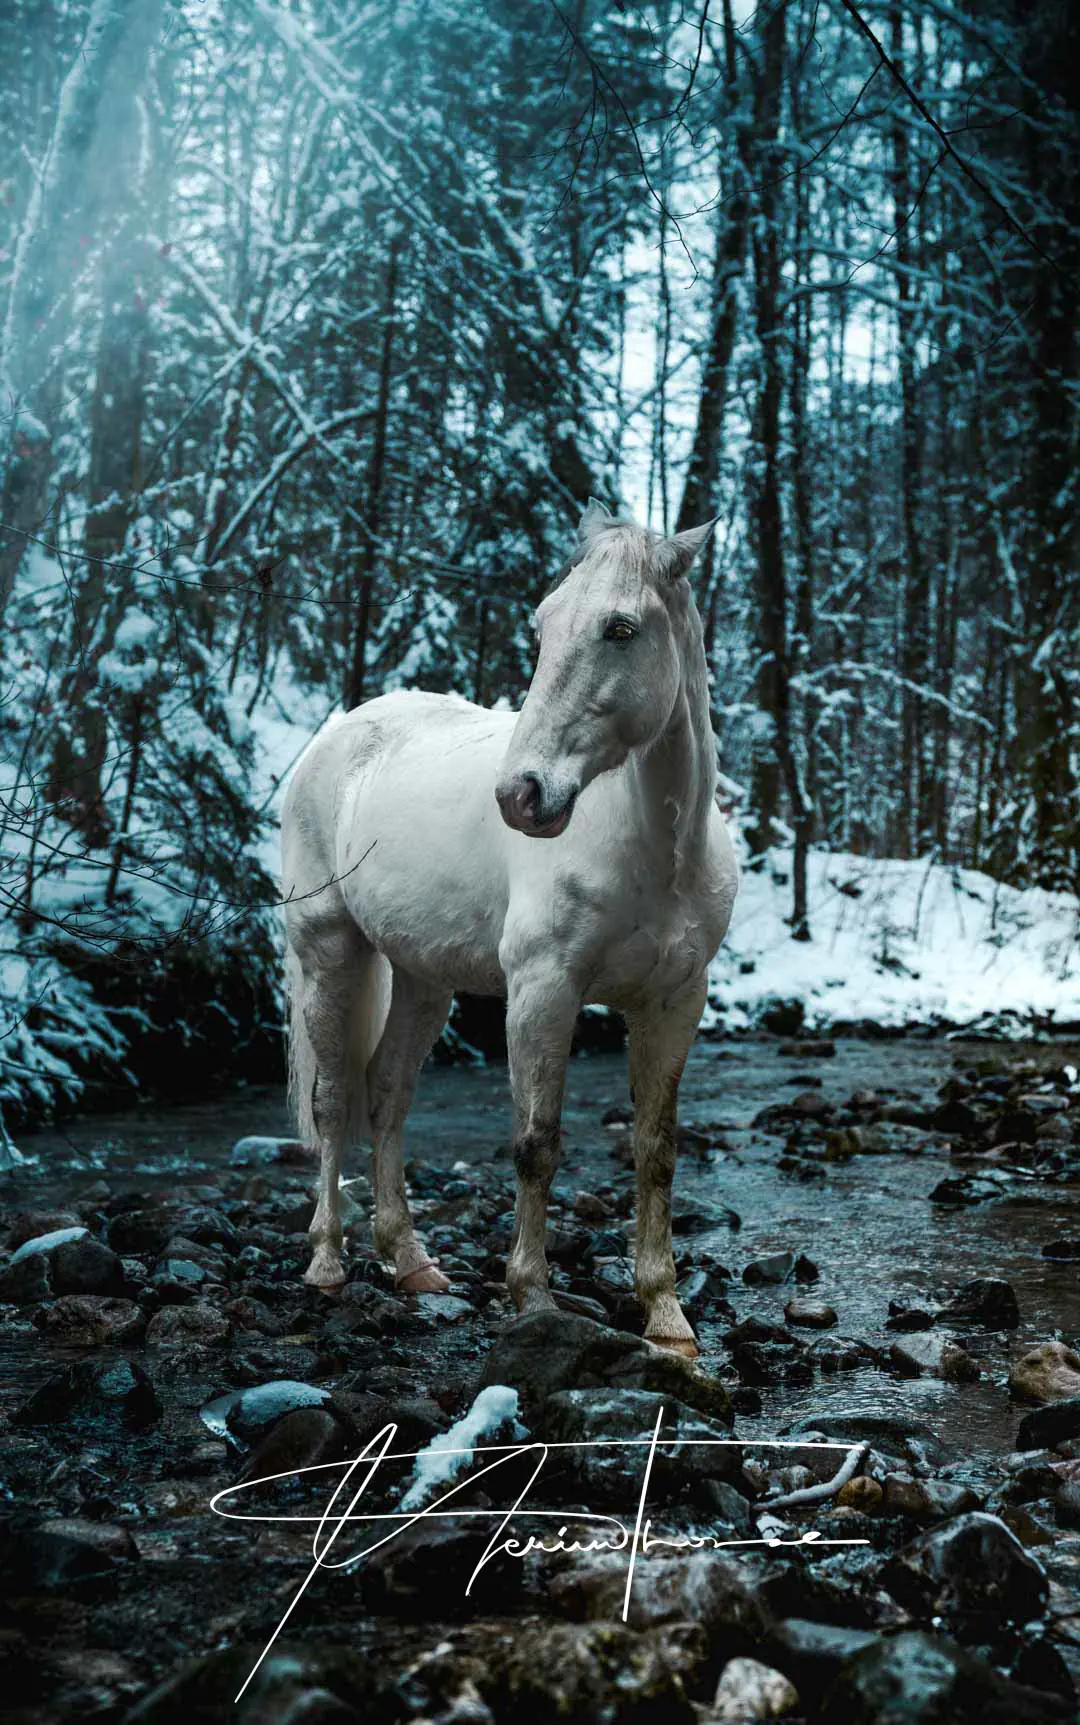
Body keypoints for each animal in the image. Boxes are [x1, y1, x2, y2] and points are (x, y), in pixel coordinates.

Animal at [281, 499, 739, 1356]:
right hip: (330, 953)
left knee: (387, 1094)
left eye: (621, 628)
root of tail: (335, 734)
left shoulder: (675, 1001)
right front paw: (531, 1294)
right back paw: (327, 1262)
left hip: (423, 978)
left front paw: (665, 1314)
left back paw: (412, 1260)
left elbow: (656, 1150)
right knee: (334, 1102)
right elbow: (536, 1143)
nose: (521, 796)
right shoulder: (542, 991)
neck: (654, 849)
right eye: (543, 624)